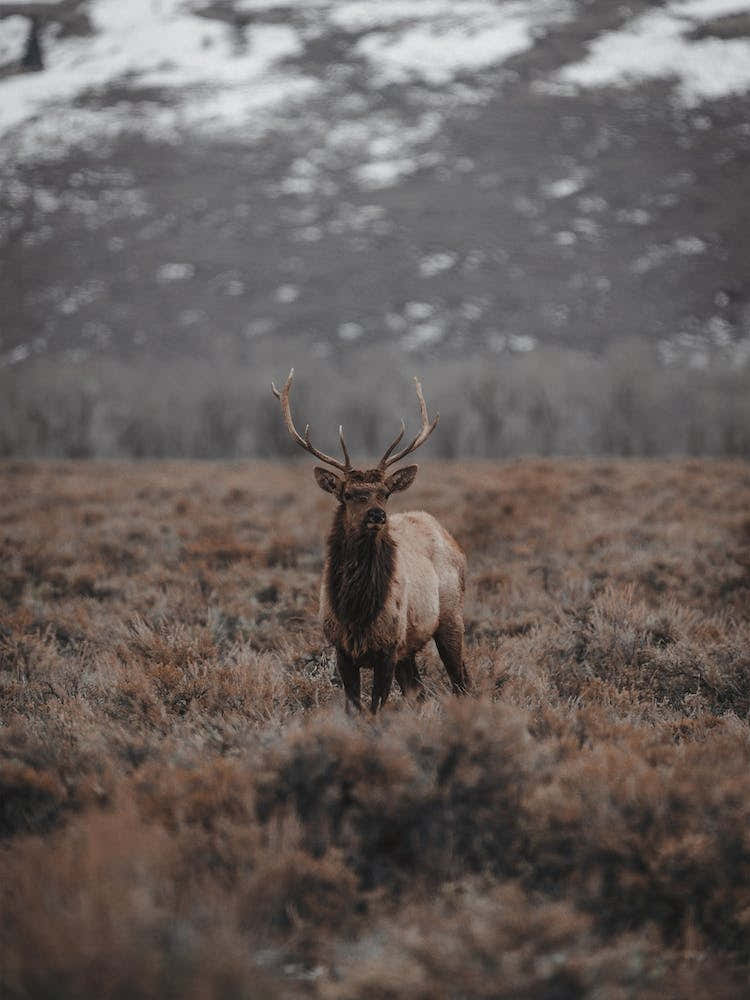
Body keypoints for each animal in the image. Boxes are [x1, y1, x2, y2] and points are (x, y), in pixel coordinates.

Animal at [271, 369, 470, 713]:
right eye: (349, 494)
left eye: (385, 493)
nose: (378, 515)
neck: (357, 612)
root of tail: (451, 540)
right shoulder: (341, 649)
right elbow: (355, 708)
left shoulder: (388, 648)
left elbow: (376, 707)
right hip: (411, 646)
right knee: (417, 691)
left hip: (450, 616)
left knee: (462, 680)